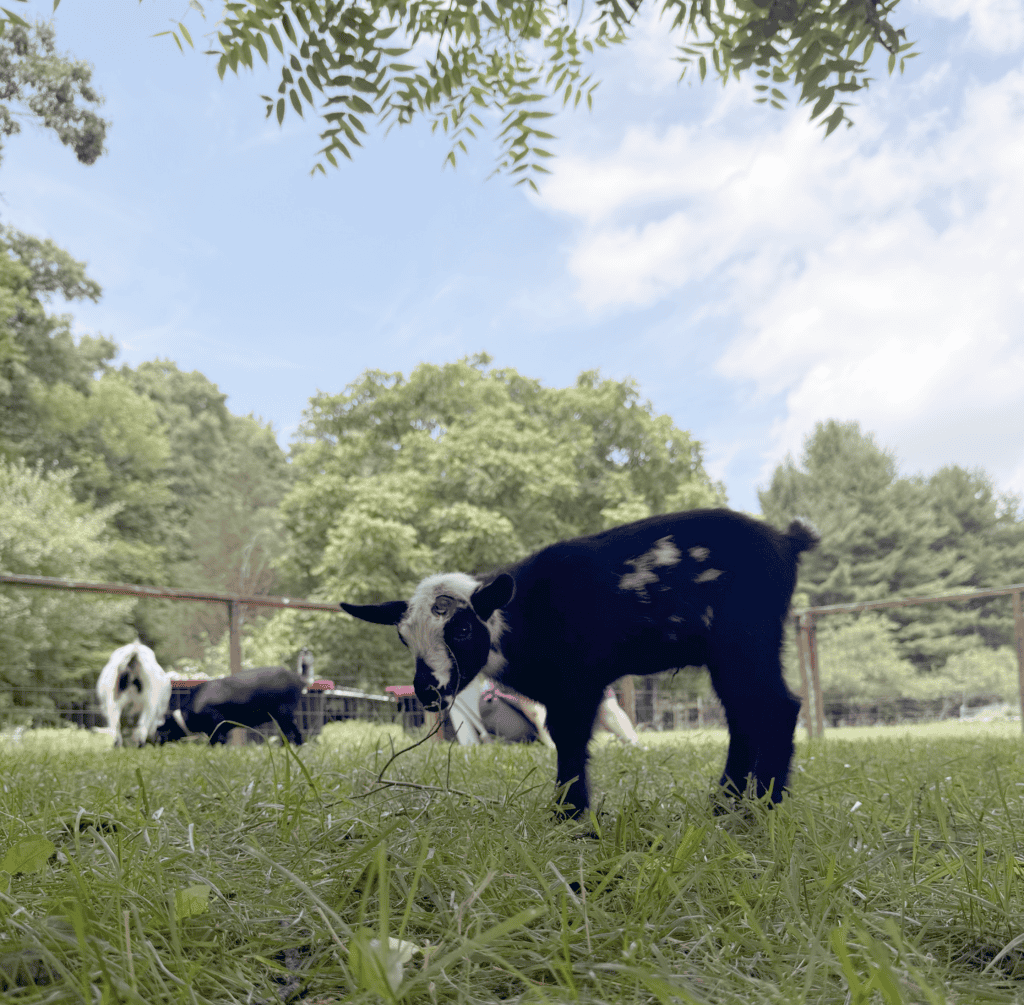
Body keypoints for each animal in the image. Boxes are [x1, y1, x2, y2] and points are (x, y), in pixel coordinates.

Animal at [157, 649, 315, 746]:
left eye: (161, 727)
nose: (153, 742)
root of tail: (298, 678)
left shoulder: (217, 724)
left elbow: (216, 742)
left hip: (282, 714)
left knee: (287, 734)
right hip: (287, 715)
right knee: (297, 732)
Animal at [342, 509, 818, 814]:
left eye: (460, 630)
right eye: (403, 638)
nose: (427, 691)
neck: (518, 616)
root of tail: (788, 542)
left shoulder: (578, 683)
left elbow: (569, 741)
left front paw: (568, 814)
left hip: (746, 638)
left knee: (777, 707)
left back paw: (764, 807)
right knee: (744, 715)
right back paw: (725, 802)